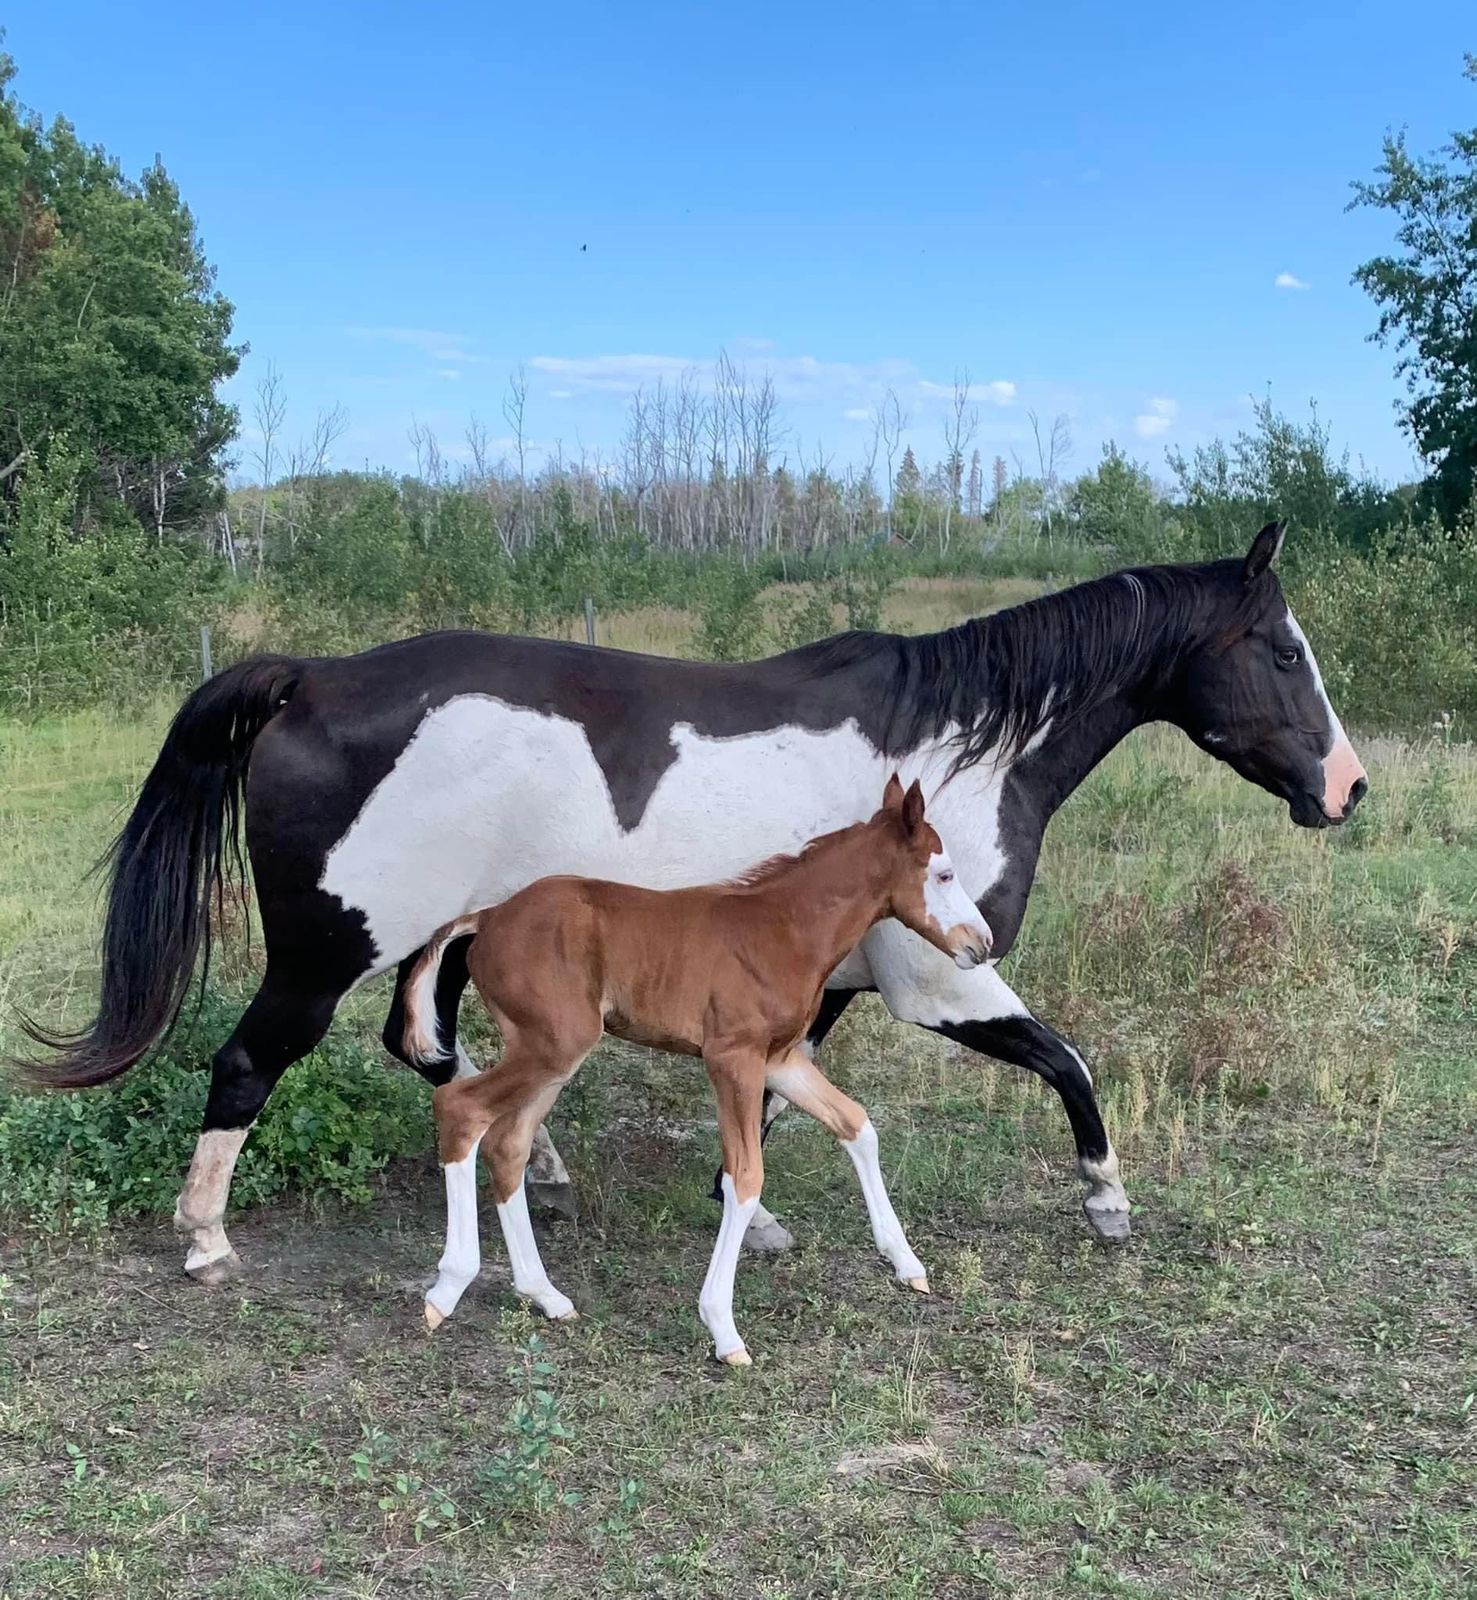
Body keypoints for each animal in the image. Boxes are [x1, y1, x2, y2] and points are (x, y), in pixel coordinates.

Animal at [21, 521, 1367, 1280]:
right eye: (1284, 649)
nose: (1345, 787)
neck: (956, 752)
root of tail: (314, 677)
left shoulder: (819, 987)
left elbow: (774, 1103)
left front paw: (747, 1221)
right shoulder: (942, 978)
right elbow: (1068, 1060)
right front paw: (1104, 1198)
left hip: (443, 947)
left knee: (431, 1050)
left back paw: (539, 1164)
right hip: (322, 949)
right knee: (249, 1065)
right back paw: (205, 1239)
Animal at [416, 776, 992, 1364]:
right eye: (944, 873)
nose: (982, 944)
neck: (786, 929)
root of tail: (488, 918)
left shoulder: (780, 1060)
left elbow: (856, 1124)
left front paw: (907, 1264)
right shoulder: (732, 1058)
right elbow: (746, 1177)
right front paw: (723, 1329)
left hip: (549, 1055)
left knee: (508, 1144)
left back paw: (544, 1294)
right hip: (552, 1045)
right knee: (460, 1107)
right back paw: (447, 1288)